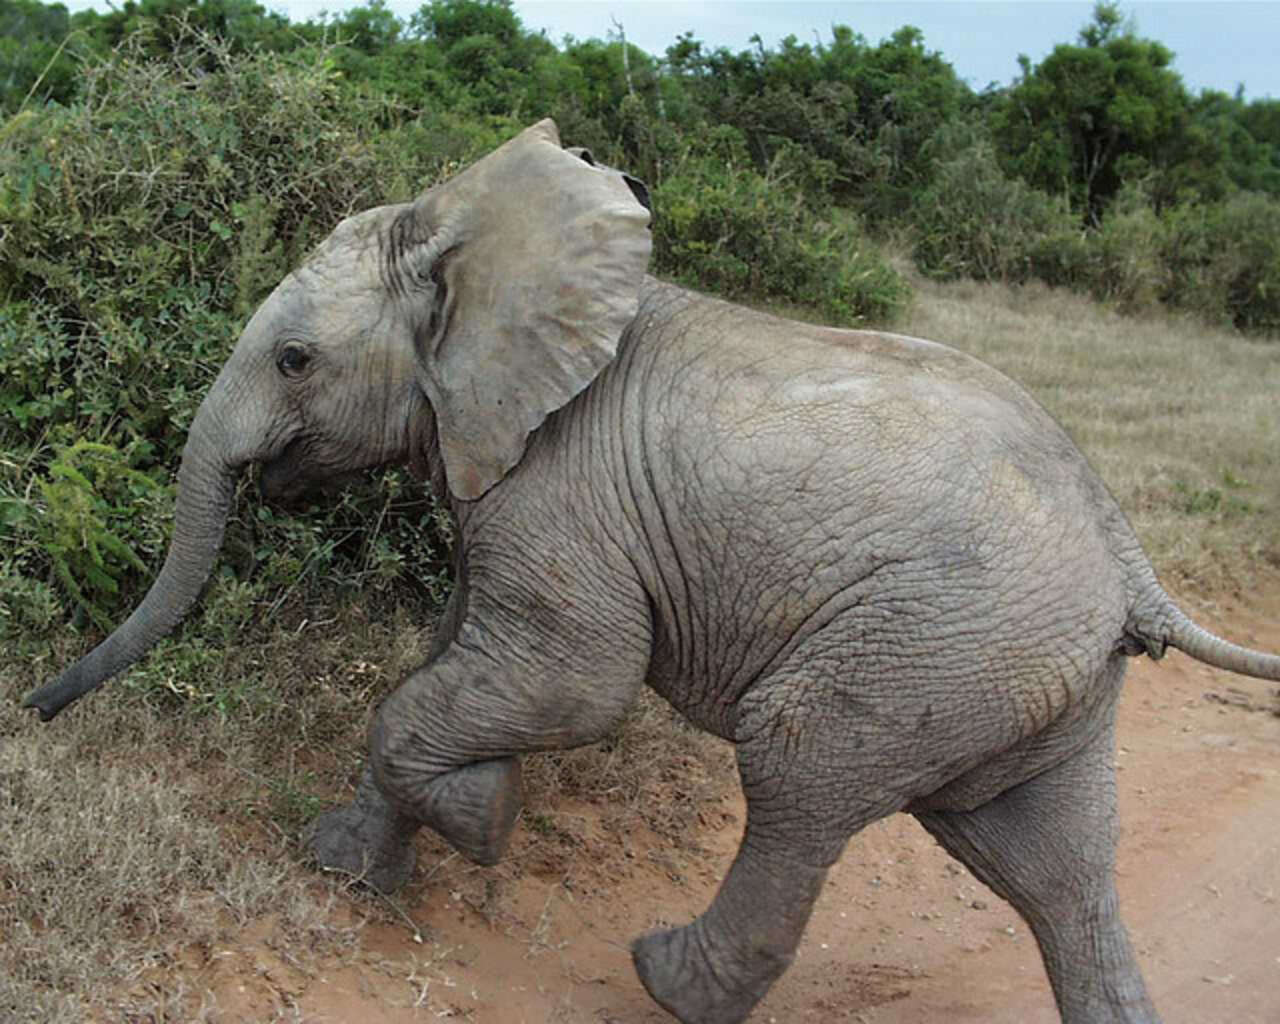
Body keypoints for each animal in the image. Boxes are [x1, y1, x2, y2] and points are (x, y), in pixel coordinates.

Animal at [25, 119, 1280, 1024]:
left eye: (294, 360)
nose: (33, 710)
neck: (482, 254)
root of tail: (1126, 556)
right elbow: (444, 656)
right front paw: (350, 864)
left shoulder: (558, 491)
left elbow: (570, 682)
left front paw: (480, 821)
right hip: (1024, 672)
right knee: (1046, 866)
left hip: (935, 639)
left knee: (798, 772)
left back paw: (664, 977)